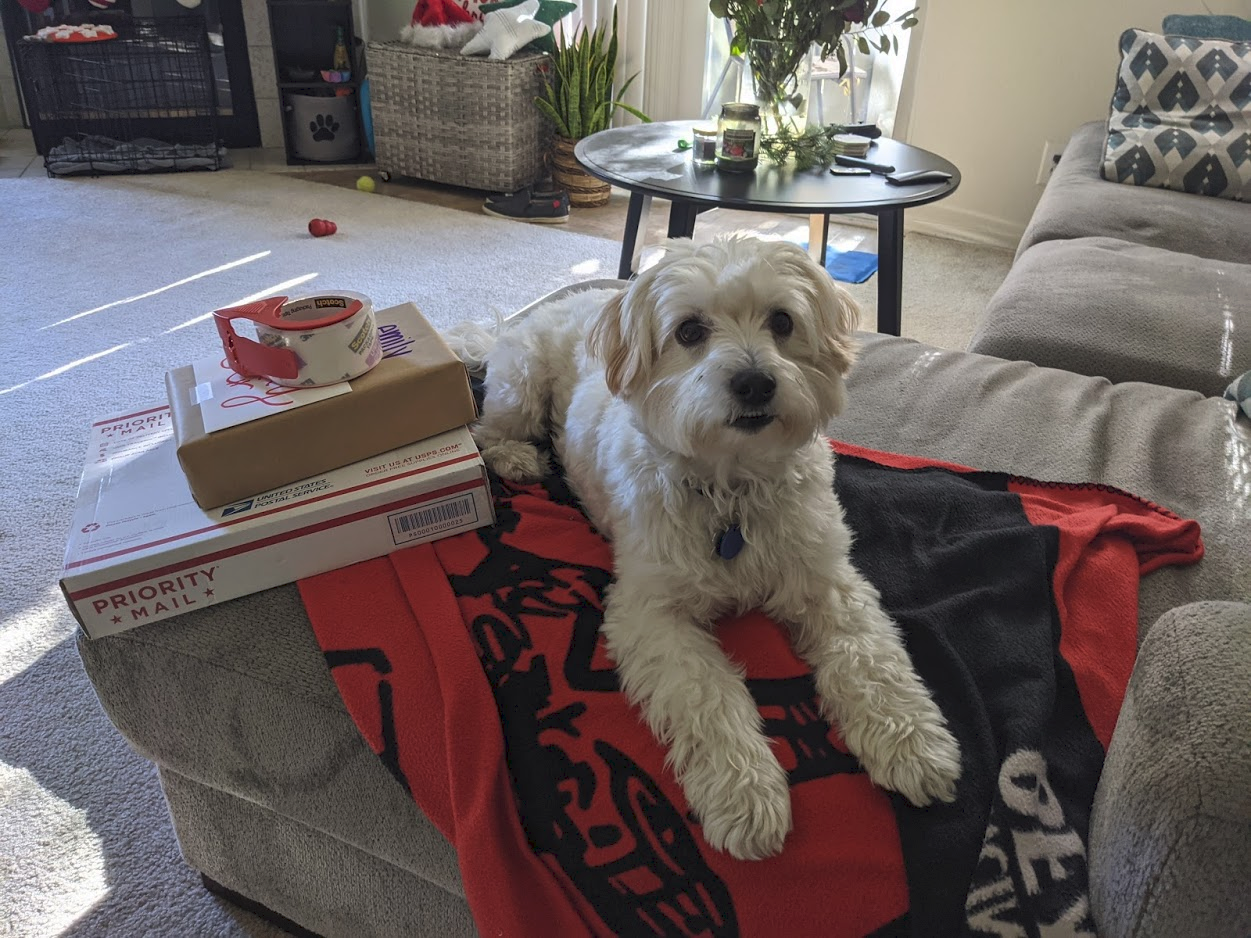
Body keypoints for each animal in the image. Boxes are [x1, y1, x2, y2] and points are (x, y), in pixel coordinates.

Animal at [460, 235, 955, 860]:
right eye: (690, 331)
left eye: (782, 321)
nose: (755, 383)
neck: (732, 489)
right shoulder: (651, 614)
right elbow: (707, 697)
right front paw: (745, 795)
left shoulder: (827, 581)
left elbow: (871, 662)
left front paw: (911, 743)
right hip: (521, 386)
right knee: (487, 431)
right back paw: (517, 458)